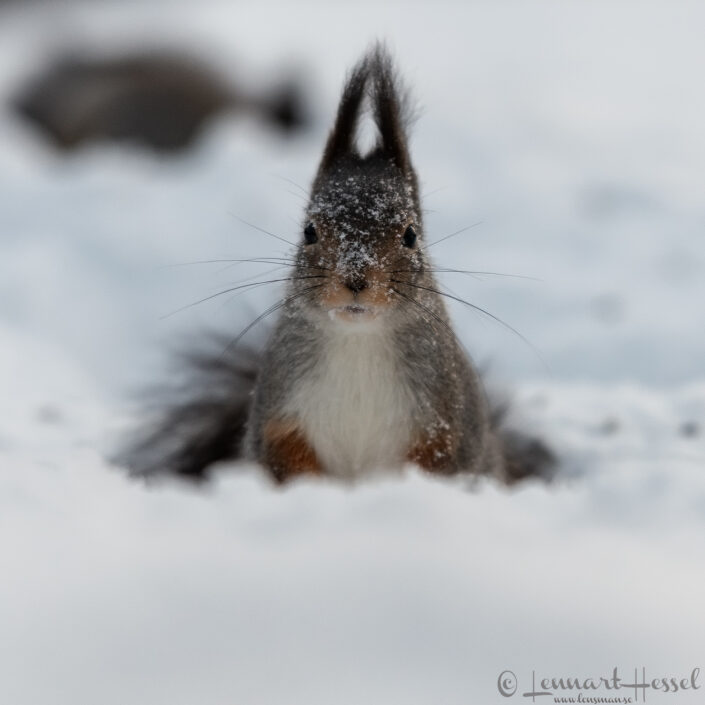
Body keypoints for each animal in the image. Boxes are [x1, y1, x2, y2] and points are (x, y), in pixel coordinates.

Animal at [124, 44, 554, 485]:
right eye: (309, 230)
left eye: (410, 234)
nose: (356, 280)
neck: (358, 339)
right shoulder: (278, 406)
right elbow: (284, 453)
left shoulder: (447, 416)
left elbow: (437, 461)